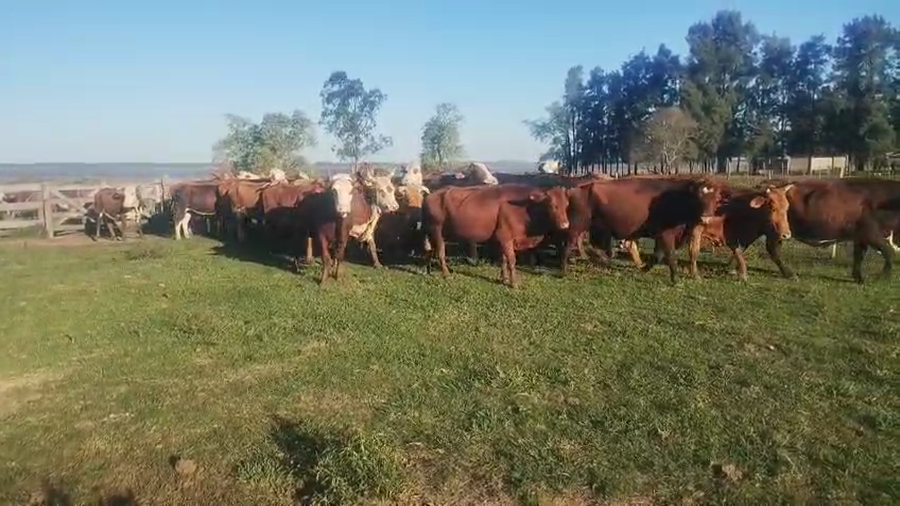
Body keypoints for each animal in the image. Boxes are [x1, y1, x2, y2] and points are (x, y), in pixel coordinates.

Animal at [422, 183, 573, 287]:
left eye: (566, 204)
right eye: (552, 205)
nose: (565, 224)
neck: (524, 208)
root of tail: (430, 195)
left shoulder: (502, 240)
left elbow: (503, 260)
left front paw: (504, 279)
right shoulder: (506, 238)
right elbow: (511, 261)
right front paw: (513, 283)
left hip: (434, 233)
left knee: (430, 251)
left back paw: (428, 270)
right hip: (437, 230)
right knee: (440, 253)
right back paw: (446, 274)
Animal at [758, 178, 900, 283]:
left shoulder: (861, 237)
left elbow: (859, 256)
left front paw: (858, 277)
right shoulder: (872, 234)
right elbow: (889, 252)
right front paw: (882, 277)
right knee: (774, 251)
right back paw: (790, 274)